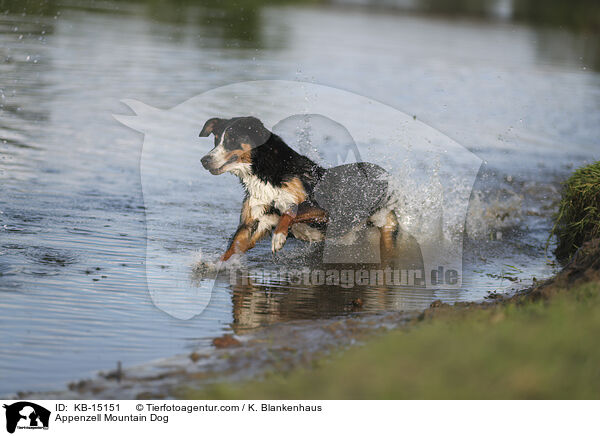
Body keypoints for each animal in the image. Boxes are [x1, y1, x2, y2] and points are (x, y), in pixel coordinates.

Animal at [199, 116, 400, 260]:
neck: (265, 174)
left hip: (387, 223)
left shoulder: (322, 209)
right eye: (216, 140)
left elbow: (290, 211)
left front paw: (279, 237)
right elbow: (232, 249)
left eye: (231, 140)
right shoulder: (255, 221)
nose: (204, 160)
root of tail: (385, 174)